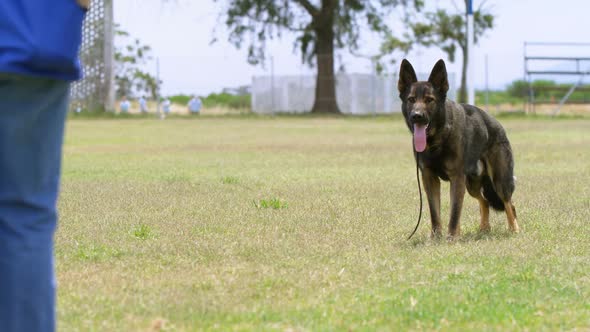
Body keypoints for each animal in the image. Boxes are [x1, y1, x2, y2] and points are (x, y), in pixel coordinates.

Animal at [400, 59, 520, 236]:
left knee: (509, 203)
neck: (437, 140)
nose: (417, 116)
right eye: (411, 99)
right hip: (472, 185)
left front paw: (451, 237)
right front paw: (436, 237)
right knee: (484, 201)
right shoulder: (429, 178)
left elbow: (454, 212)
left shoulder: (456, 178)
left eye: (429, 100)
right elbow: (435, 212)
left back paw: (514, 229)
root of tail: (497, 125)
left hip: (500, 181)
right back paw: (484, 228)